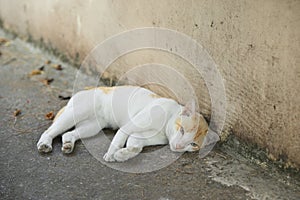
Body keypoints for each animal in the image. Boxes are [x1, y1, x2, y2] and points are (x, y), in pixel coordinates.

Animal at [36, 85, 207, 162]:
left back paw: (68, 144)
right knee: (50, 131)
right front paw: (111, 154)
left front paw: (123, 154)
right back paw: (44, 143)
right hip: (76, 113)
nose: (178, 147)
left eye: (193, 144)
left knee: (68, 133)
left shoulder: (140, 136)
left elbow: (135, 146)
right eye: (182, 130)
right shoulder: (129, 126)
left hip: (91, 127)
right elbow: (118, 140)